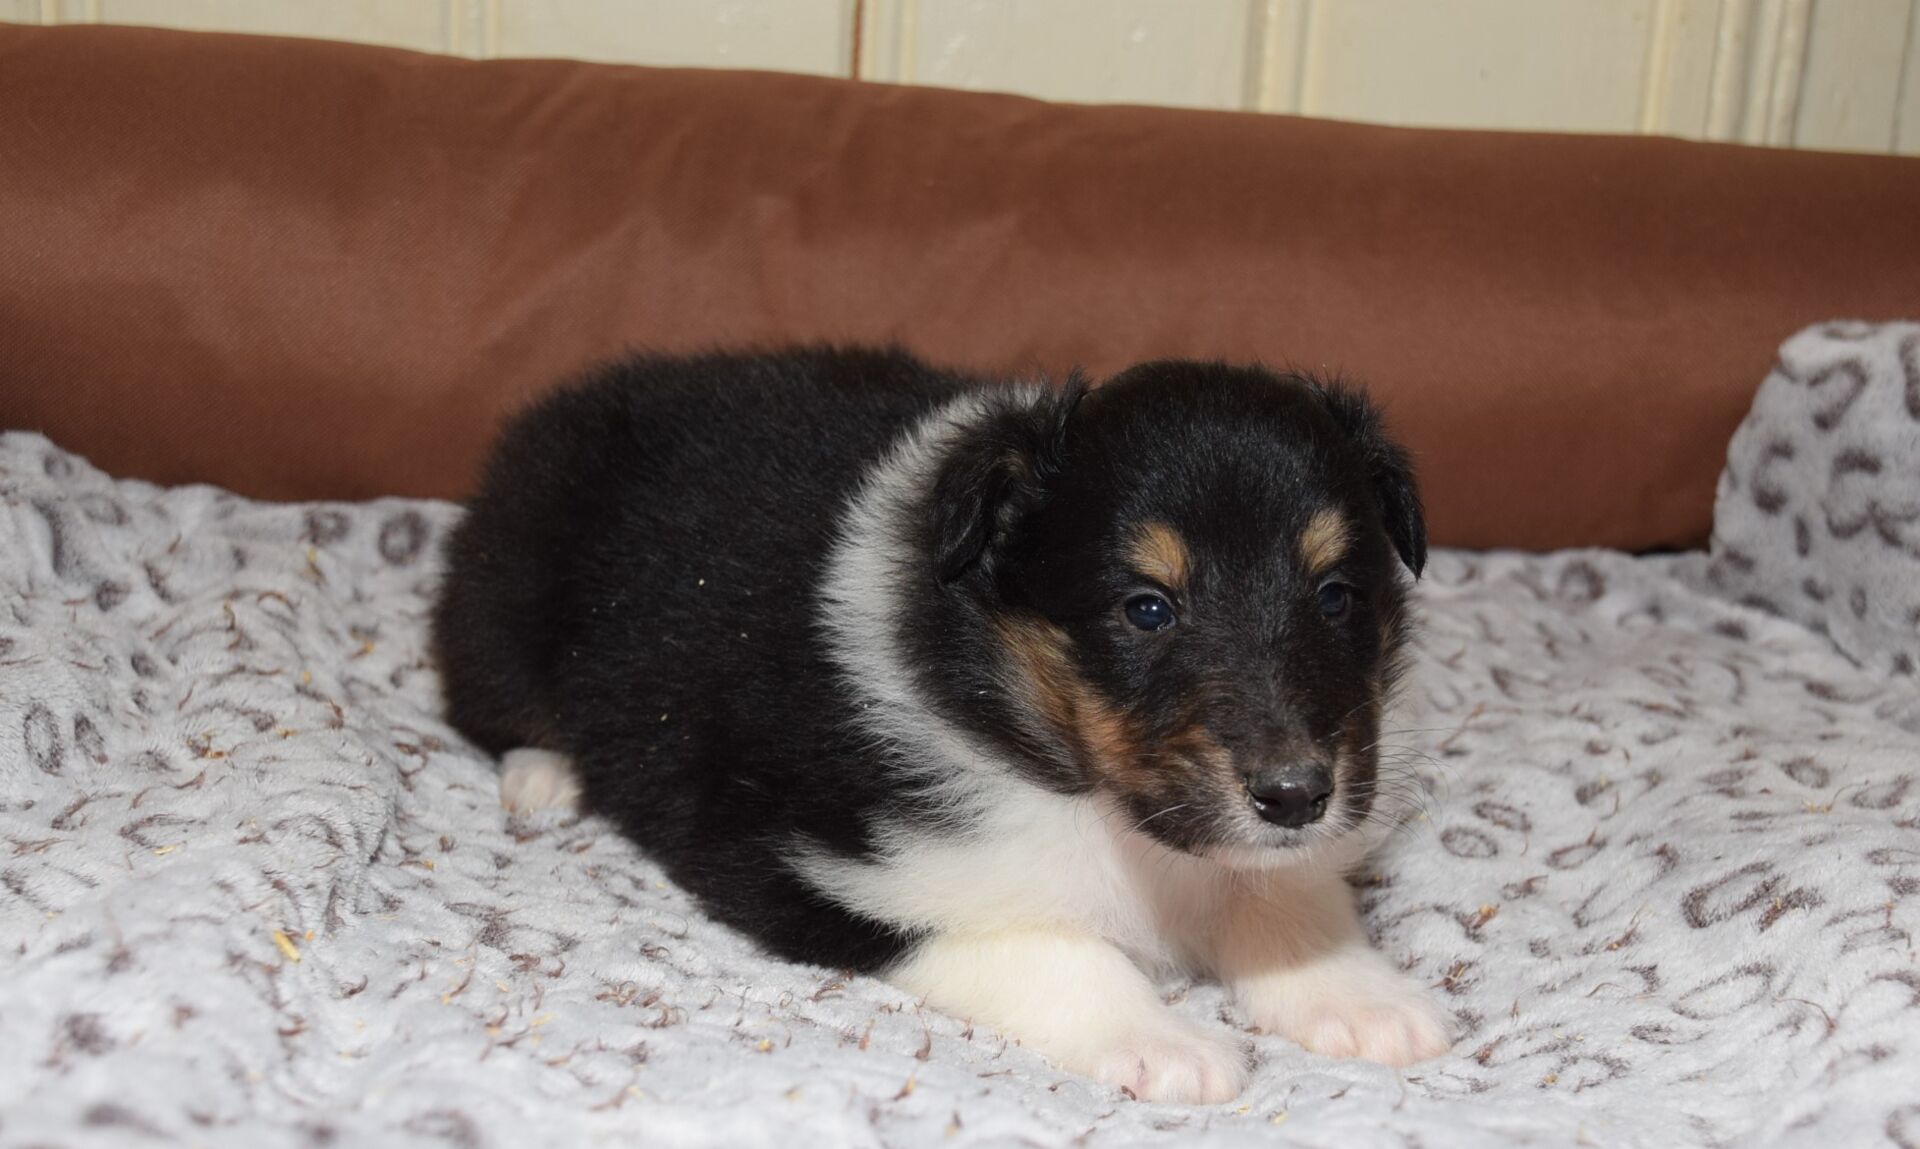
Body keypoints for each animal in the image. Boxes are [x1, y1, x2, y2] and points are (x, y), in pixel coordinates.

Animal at [430, 346, 1450, 1103]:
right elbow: (1050, 947)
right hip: (500, 598)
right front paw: (1170, 1044)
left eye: (1335, 595)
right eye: (1147, 608)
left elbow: (1276, 893)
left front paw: (1358, 994)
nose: (1296, 795)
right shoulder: (821, 872)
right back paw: (544, 774)